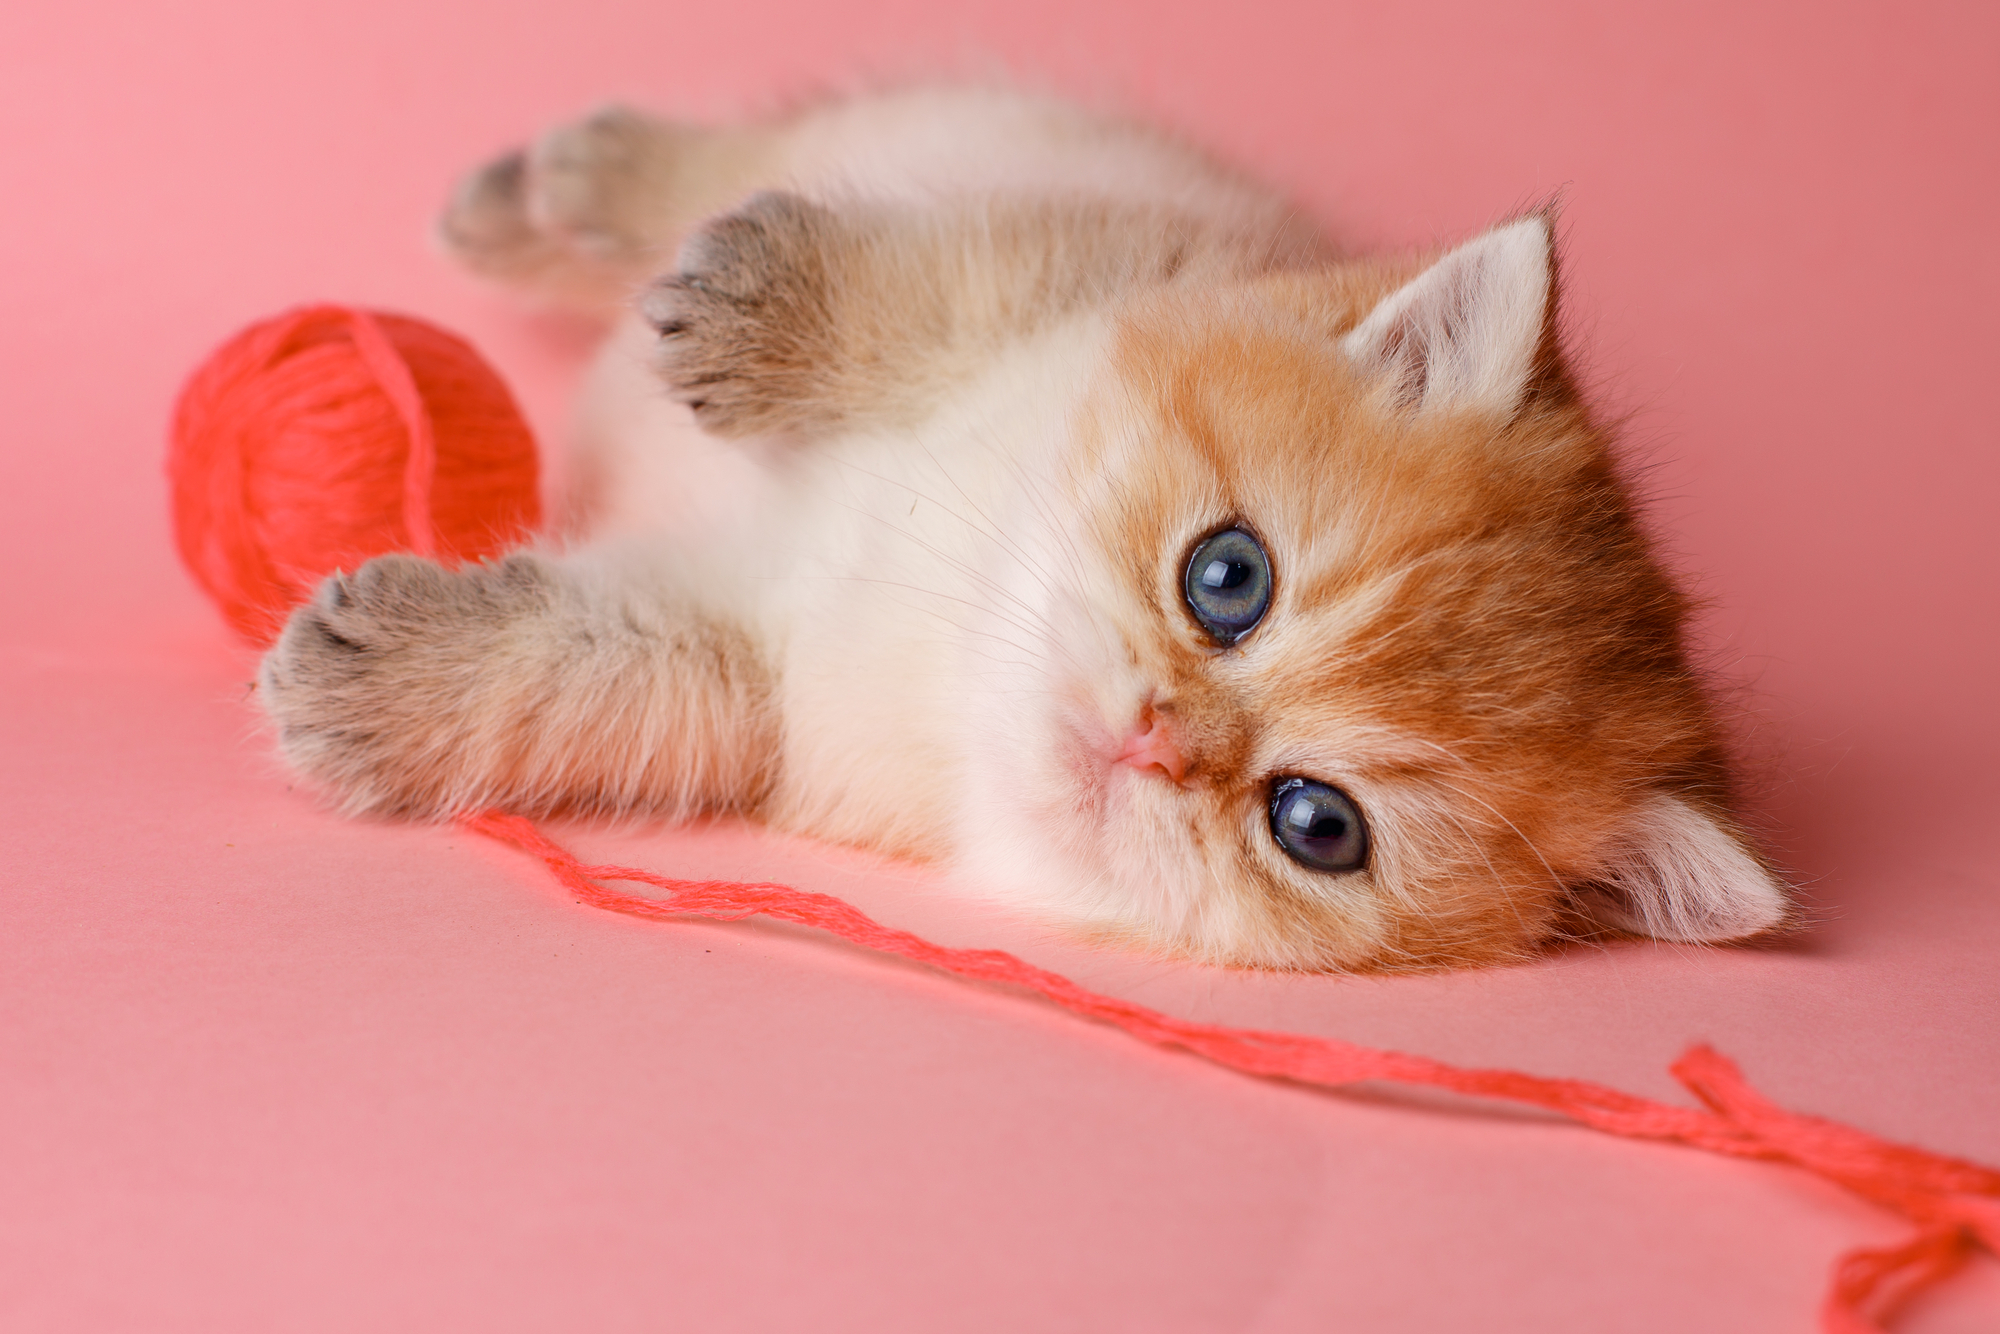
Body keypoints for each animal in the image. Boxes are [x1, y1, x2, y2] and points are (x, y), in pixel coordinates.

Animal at [254, 86, 1800, 972]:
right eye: (1227, 577)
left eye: (1316, 823)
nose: (1158, 736)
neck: (951, 586)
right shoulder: (1094, 255)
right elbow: (922, 287)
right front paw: (758, 310)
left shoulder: (747, 674)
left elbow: (577, 669)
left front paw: (373, 688)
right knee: (770, 146)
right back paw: (572, 187)